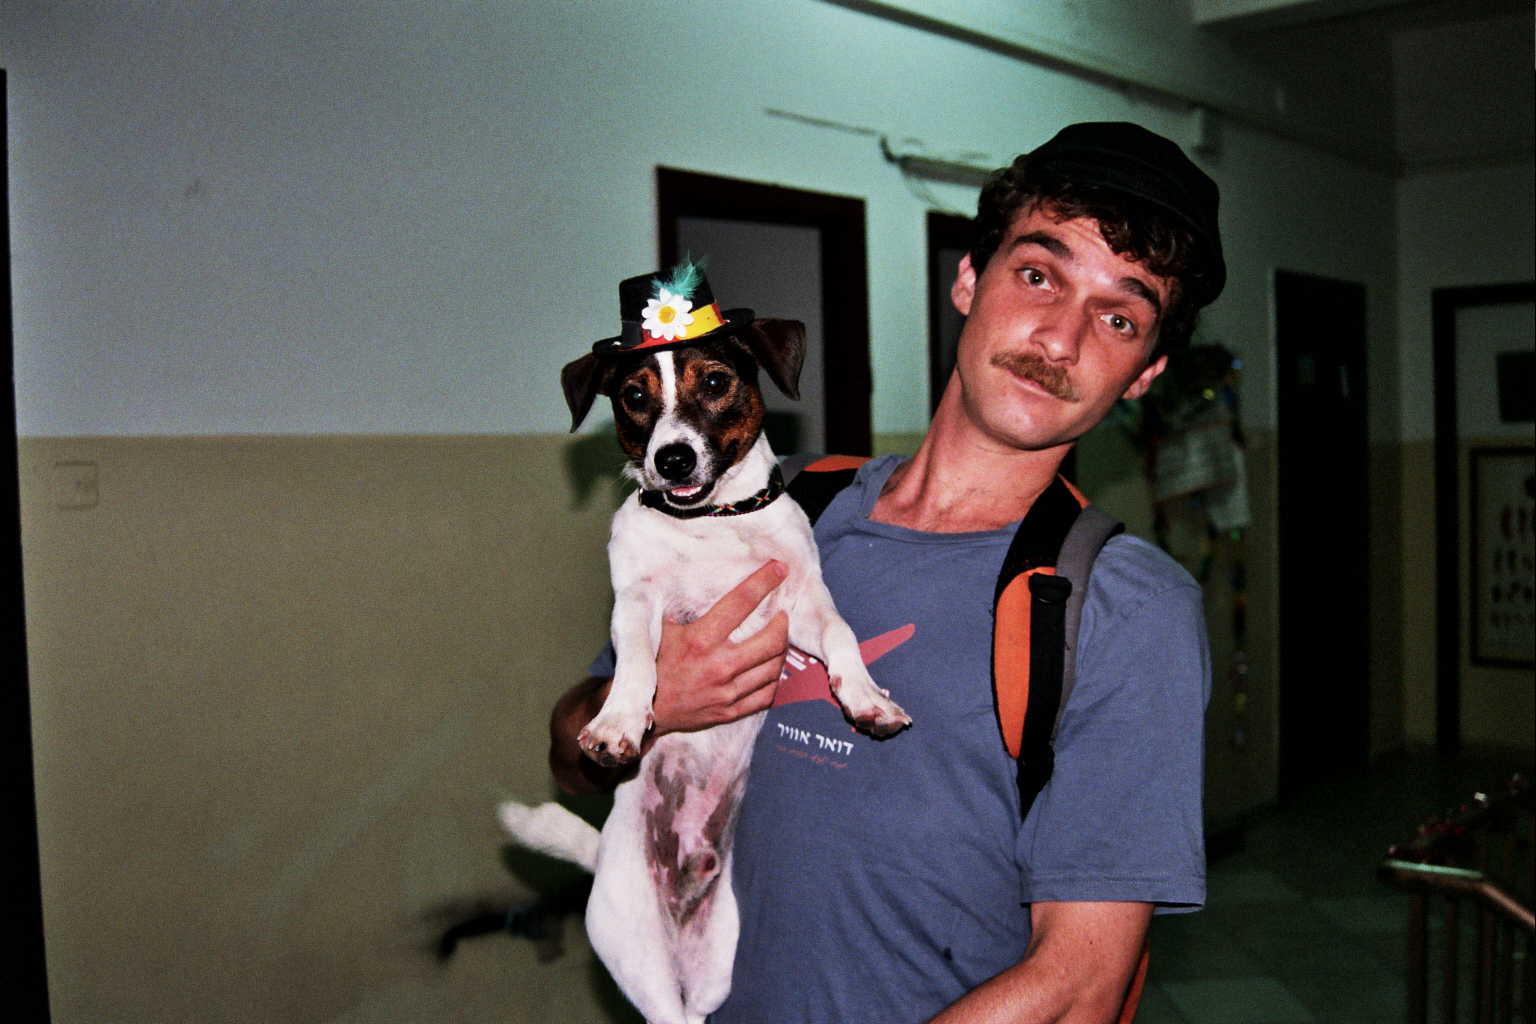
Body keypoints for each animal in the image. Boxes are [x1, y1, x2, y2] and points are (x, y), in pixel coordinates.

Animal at [500, 269, 909, 1024]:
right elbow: (637, 664)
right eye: (634, 397)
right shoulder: (637, 603)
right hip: (639, 961)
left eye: (715, 382)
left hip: (719, 962)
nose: (672, 458)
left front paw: (866, 698)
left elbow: (842, 635)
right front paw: (619, 722)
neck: (711, 522)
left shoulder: (799, 607)